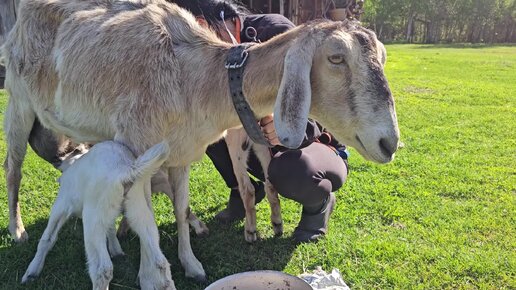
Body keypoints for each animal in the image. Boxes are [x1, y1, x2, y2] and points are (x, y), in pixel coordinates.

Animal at [21, 139, 175, 288]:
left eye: (73, 150)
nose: (57, 159)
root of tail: (126, 172)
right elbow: (111, 229)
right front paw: (116, 250)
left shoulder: (61, 205)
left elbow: (47, 238)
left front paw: (31, 272)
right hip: (139, 211)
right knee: (160, 262)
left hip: (93, 218)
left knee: (103, 269)